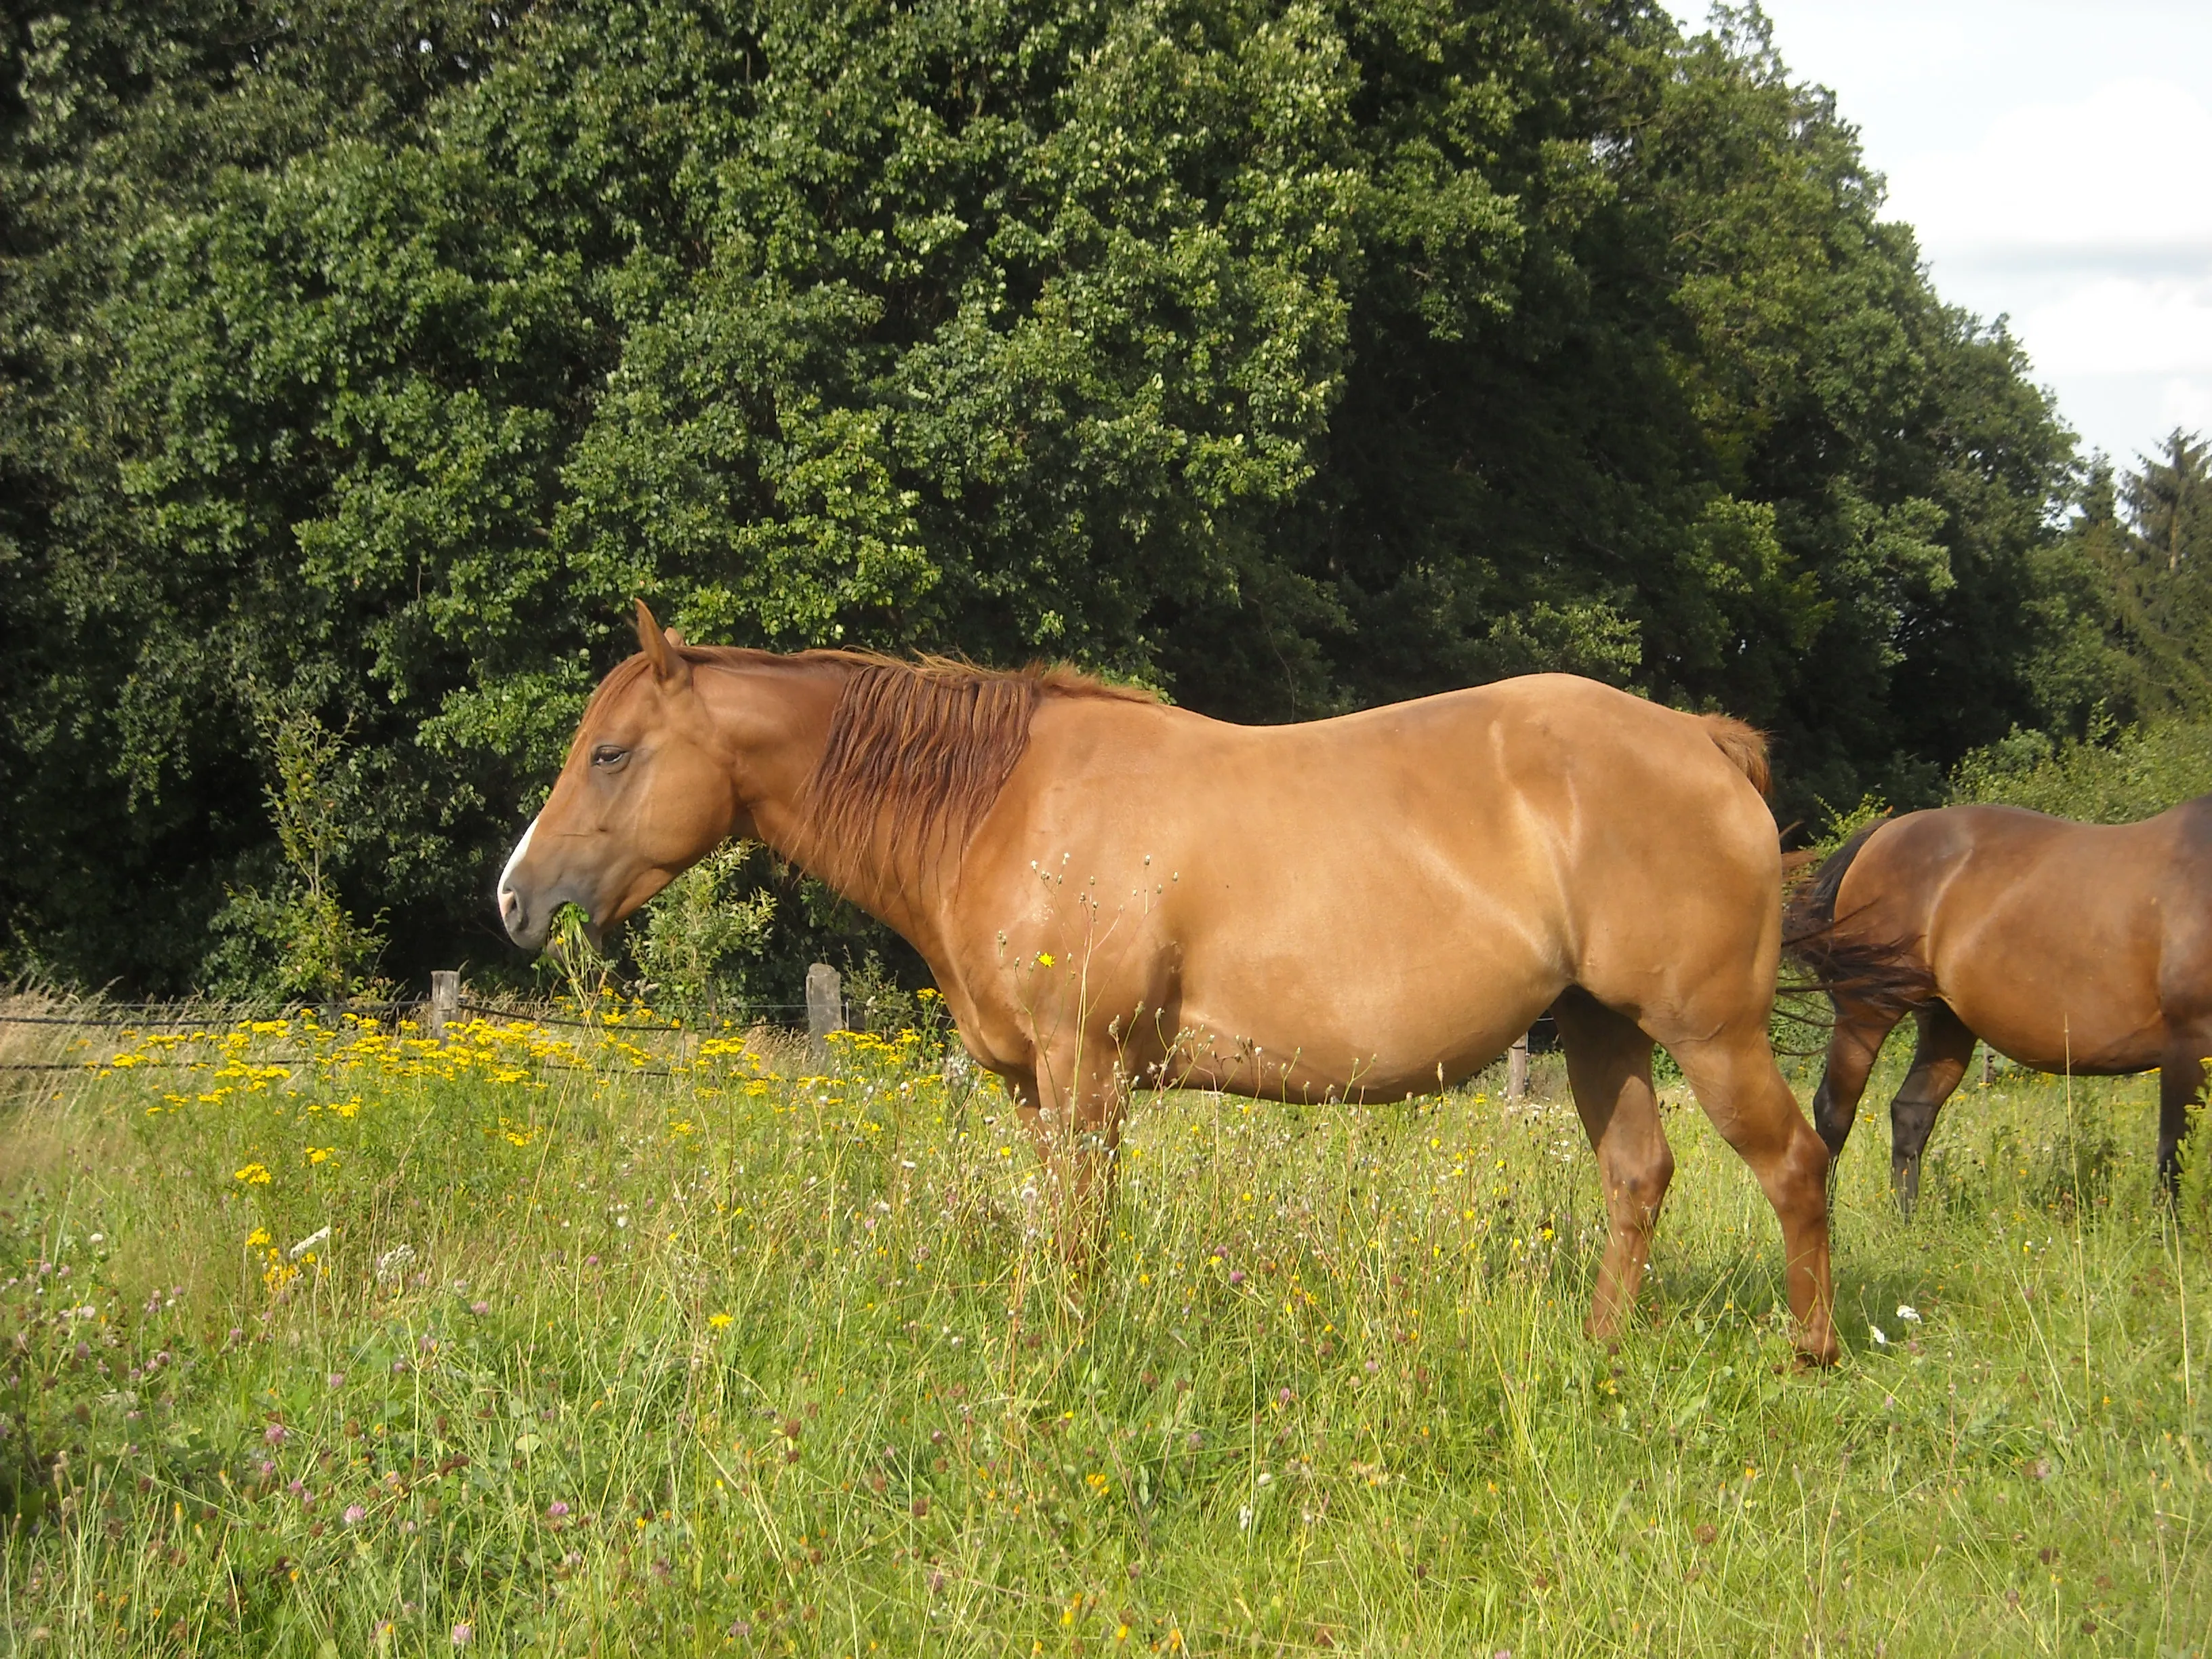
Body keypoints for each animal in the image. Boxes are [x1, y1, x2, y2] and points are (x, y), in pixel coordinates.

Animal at [498, 602, 1838, 1362]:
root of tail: (1702, 741)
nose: (516, 899)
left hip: (1709, 1032)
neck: (1002, 808)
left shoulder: (1086, 1072)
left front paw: (1068, 1368)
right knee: (1638, 1176)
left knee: (1794, 1165)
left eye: (609, 753)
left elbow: (1082, 1234)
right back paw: (1601, 1349)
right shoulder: (1035, 1089)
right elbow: (1055, 1226)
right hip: (1605, 1029)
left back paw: (1809, 1352)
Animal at [1786, 801, 2212, 1213]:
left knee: (1911, 1112)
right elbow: (2174, 1153)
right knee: (1834, 1113)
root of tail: (1884, 833)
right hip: (1867, 1011)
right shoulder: (2187, 1043)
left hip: (1945, 1022)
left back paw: (1905, 1222)